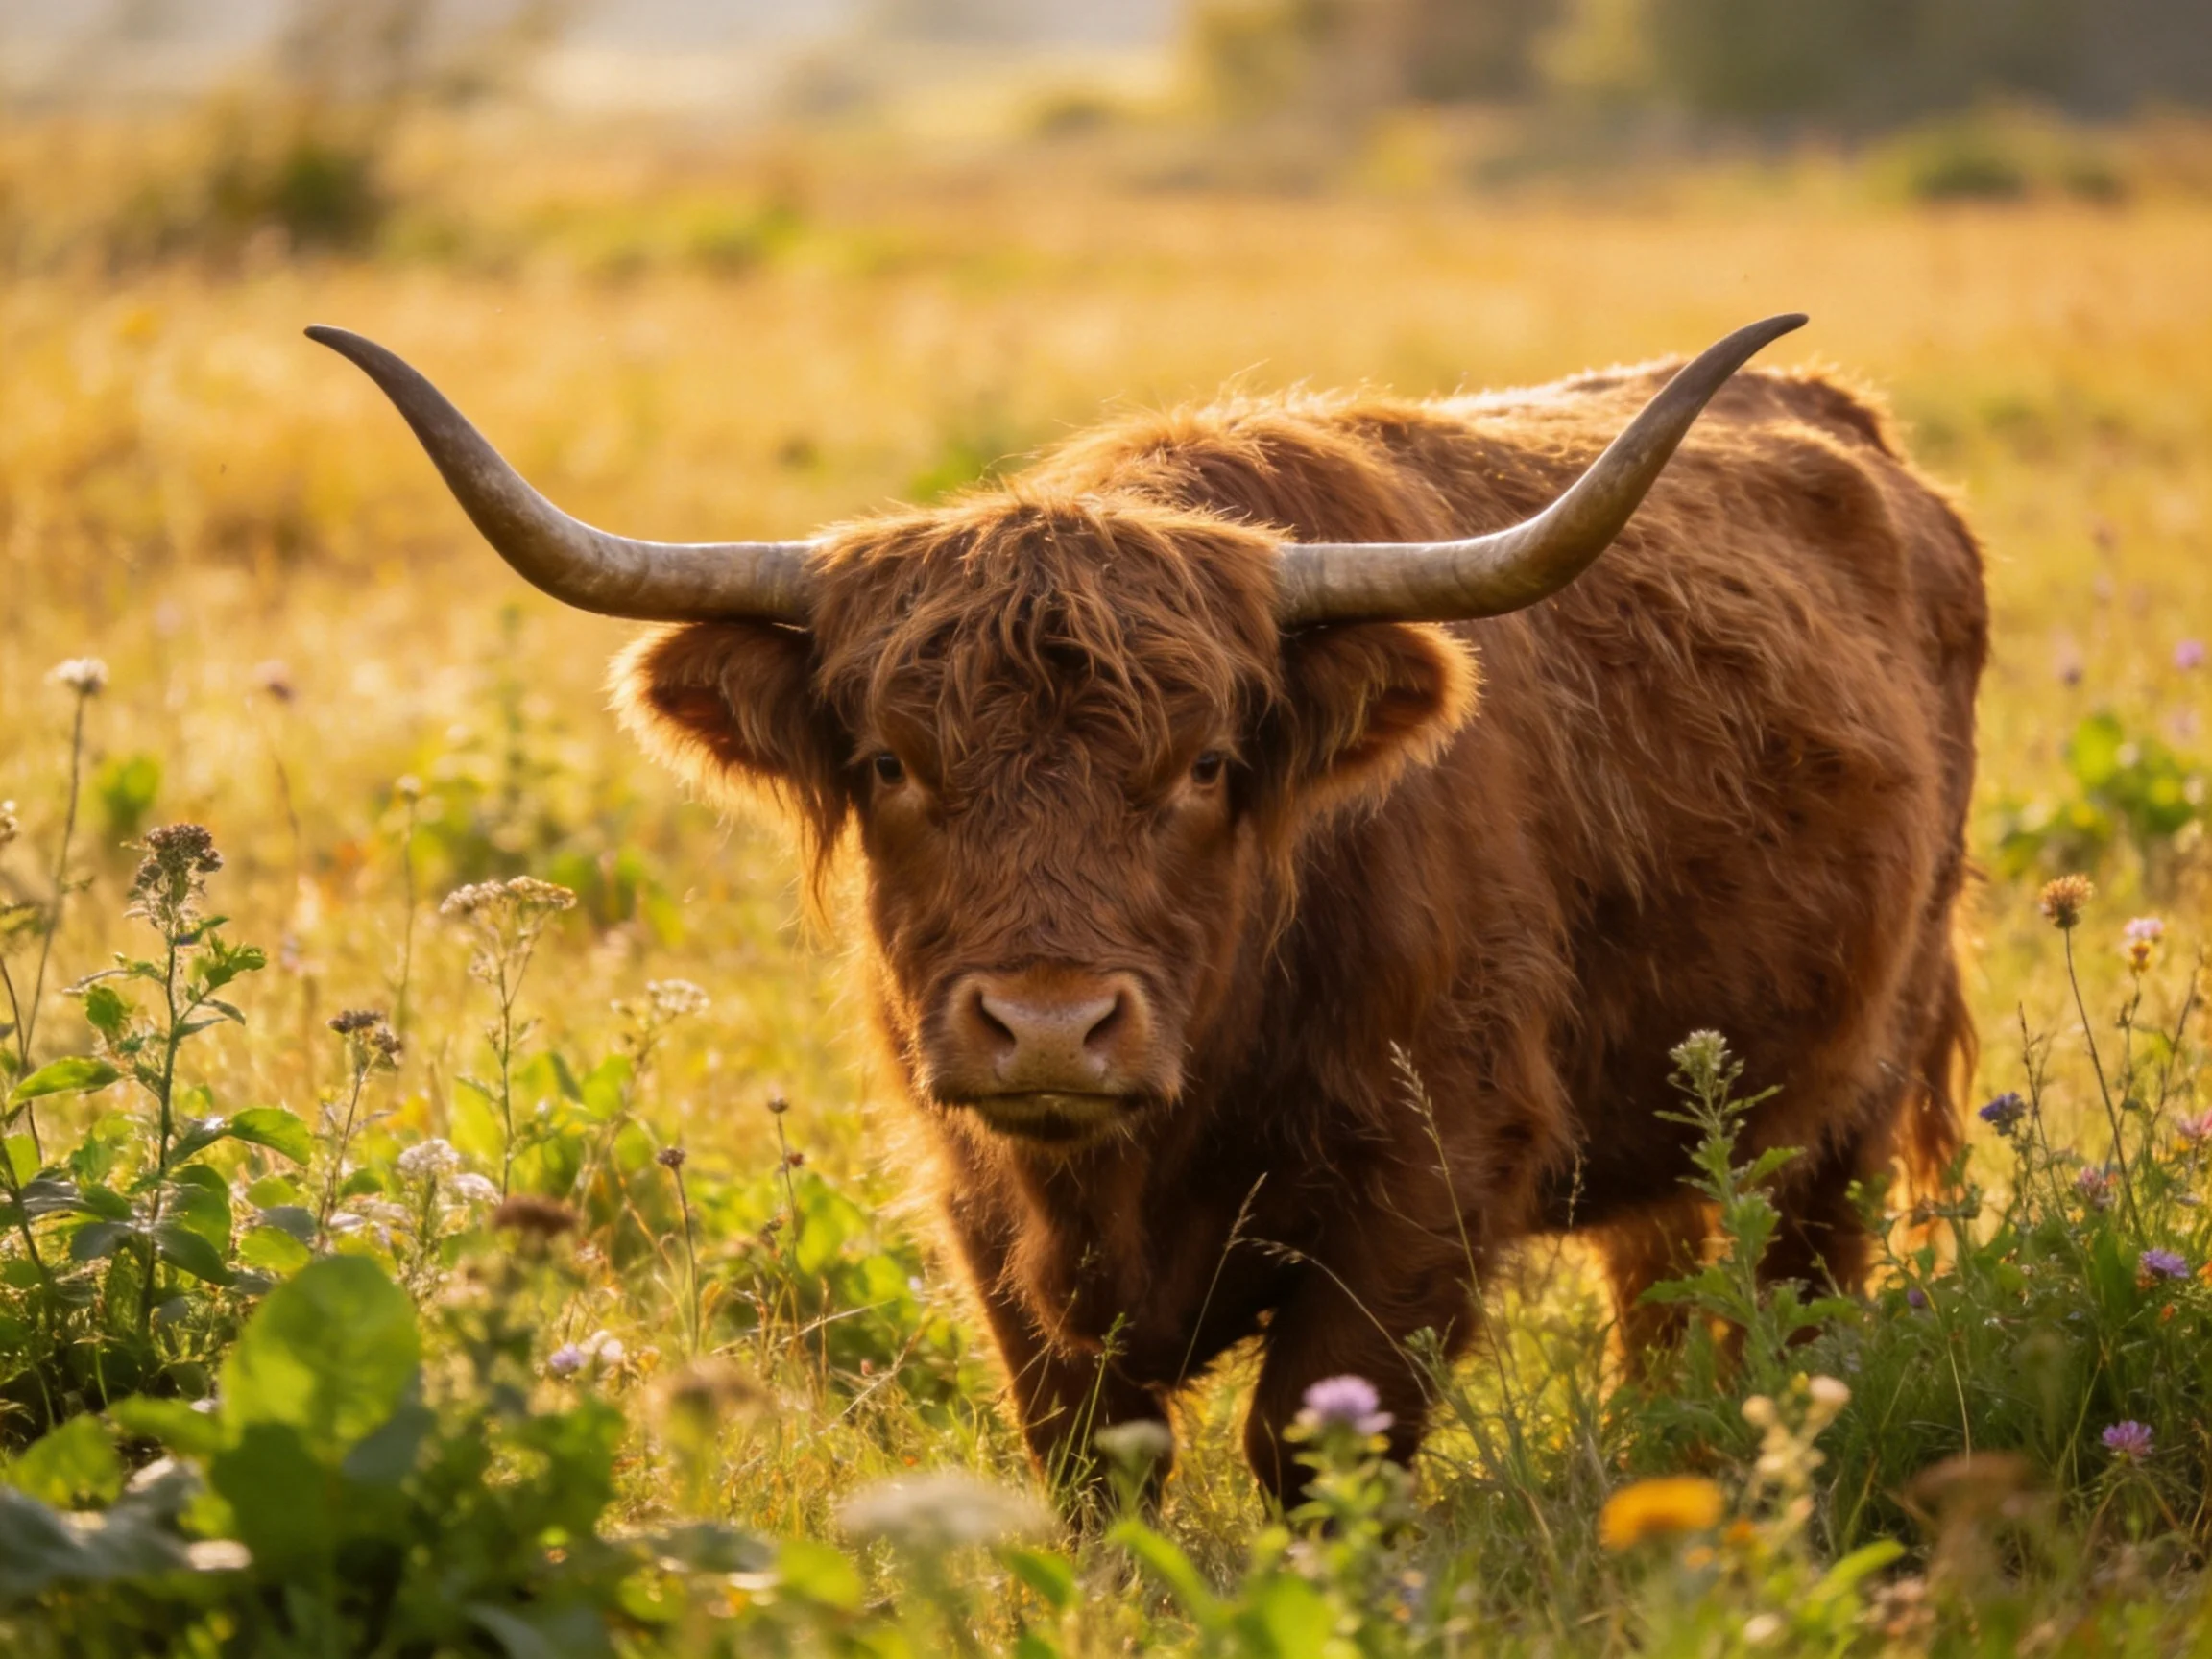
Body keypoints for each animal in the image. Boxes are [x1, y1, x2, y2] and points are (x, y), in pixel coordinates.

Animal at [310, 314, 1986, 1504]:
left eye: (1207, 765)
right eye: (890, 762)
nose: (1052, 1025)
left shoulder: (1429, 1180)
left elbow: (1313, 1450)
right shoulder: (986, 1210)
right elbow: (1089, 1466)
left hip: (1844, 1099)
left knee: (1794, 1298)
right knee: (1662, 1284)